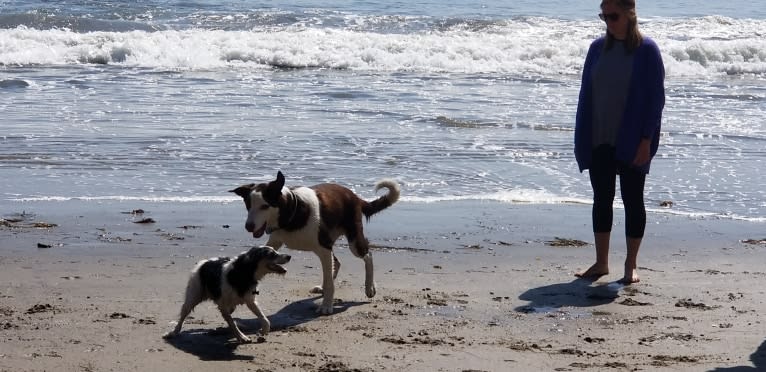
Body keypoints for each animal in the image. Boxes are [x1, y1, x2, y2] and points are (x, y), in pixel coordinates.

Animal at [164, 246, 292, 344]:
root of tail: (205, 261)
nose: (289, 256)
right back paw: (174, 332)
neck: (244, 273)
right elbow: (232, 322)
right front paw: (242, 337)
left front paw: (263, 331)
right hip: (193, 295)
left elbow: (264, 319)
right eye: (271, 254)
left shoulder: (250, 300)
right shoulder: (223, 304)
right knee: (183, 315)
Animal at [230, 171, 402, 314]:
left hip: (353, 239)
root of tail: (354, 196)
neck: (292, 212)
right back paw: (323, 287)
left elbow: (330, 281)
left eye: (264, 206)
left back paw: (369, 287)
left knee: (367, 256)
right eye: (248, 205)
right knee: (336, 263)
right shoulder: (276, 239)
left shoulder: (324, 247)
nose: (248, 226)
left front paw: (326, 306)